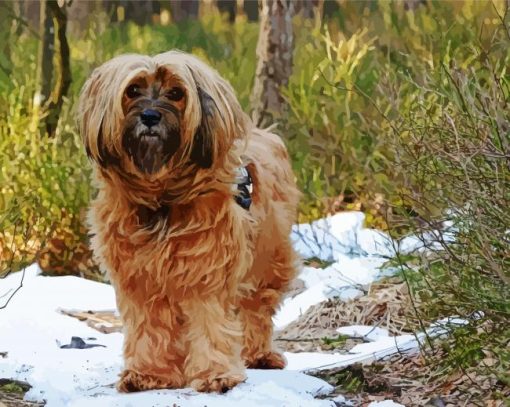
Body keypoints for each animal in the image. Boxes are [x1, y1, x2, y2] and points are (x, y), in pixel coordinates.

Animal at [77, 49, 300, 394]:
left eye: (176, 93)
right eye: (133, 90)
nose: (150, 116)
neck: (163, 198)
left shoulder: (207, 270)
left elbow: (210, 321)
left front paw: (215, 374)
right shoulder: (140, 278)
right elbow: (149, 327)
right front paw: (149, 373)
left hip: (268, 259)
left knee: (256, 309)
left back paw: (260, 354)